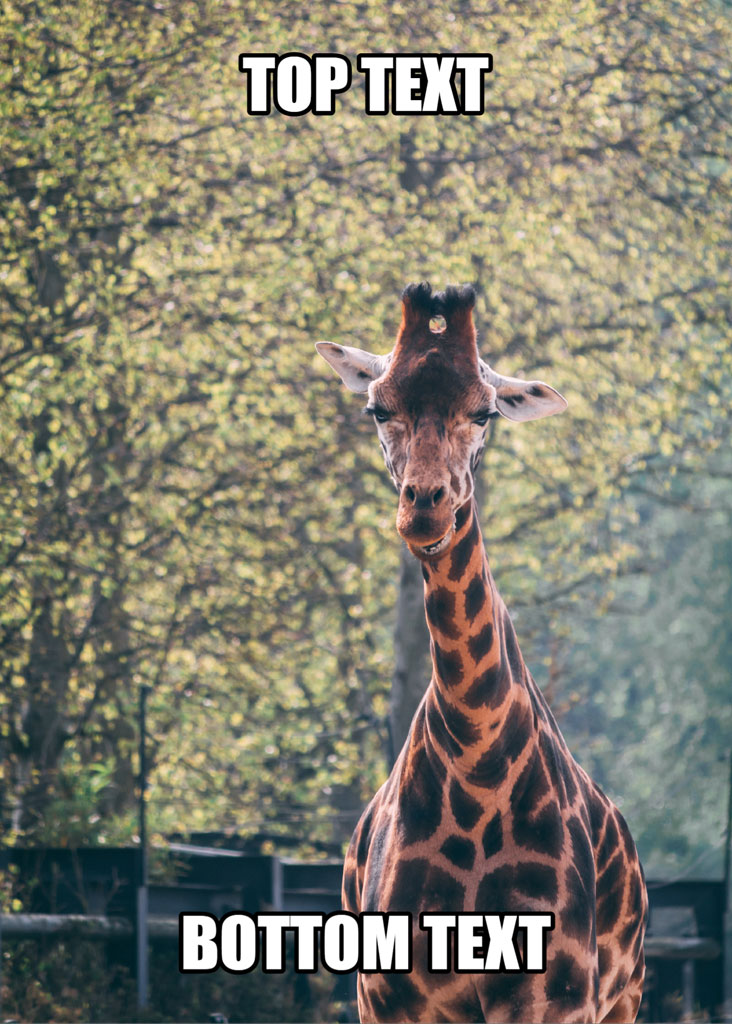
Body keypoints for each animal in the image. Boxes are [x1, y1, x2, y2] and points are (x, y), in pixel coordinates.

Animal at [316, 283, 647, 1024]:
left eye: (485, 411)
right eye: (378, 407)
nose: (425, 508)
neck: (476, 759)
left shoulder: (554, 997)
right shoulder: (384, 996)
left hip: (625, 995)